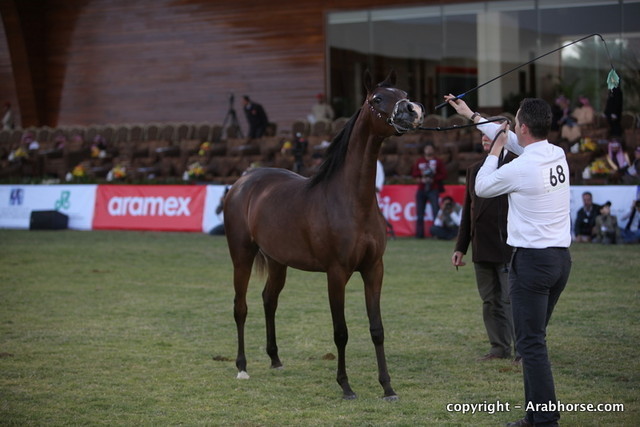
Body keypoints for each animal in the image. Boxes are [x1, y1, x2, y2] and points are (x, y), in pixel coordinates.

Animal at [223, 70, 424, 400]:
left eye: (405, 93)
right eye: (377, 99)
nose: (413, 111)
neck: (351, 200)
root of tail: (243, 181)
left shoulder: (374, 269)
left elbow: (377, 329)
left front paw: (387, 387)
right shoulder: (336, 273)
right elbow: (340, 332)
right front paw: (346, 386)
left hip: (278, 262)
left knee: (269, 300)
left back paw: (275, 359)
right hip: (241, 256)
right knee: (241, 307)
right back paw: (242, 367)